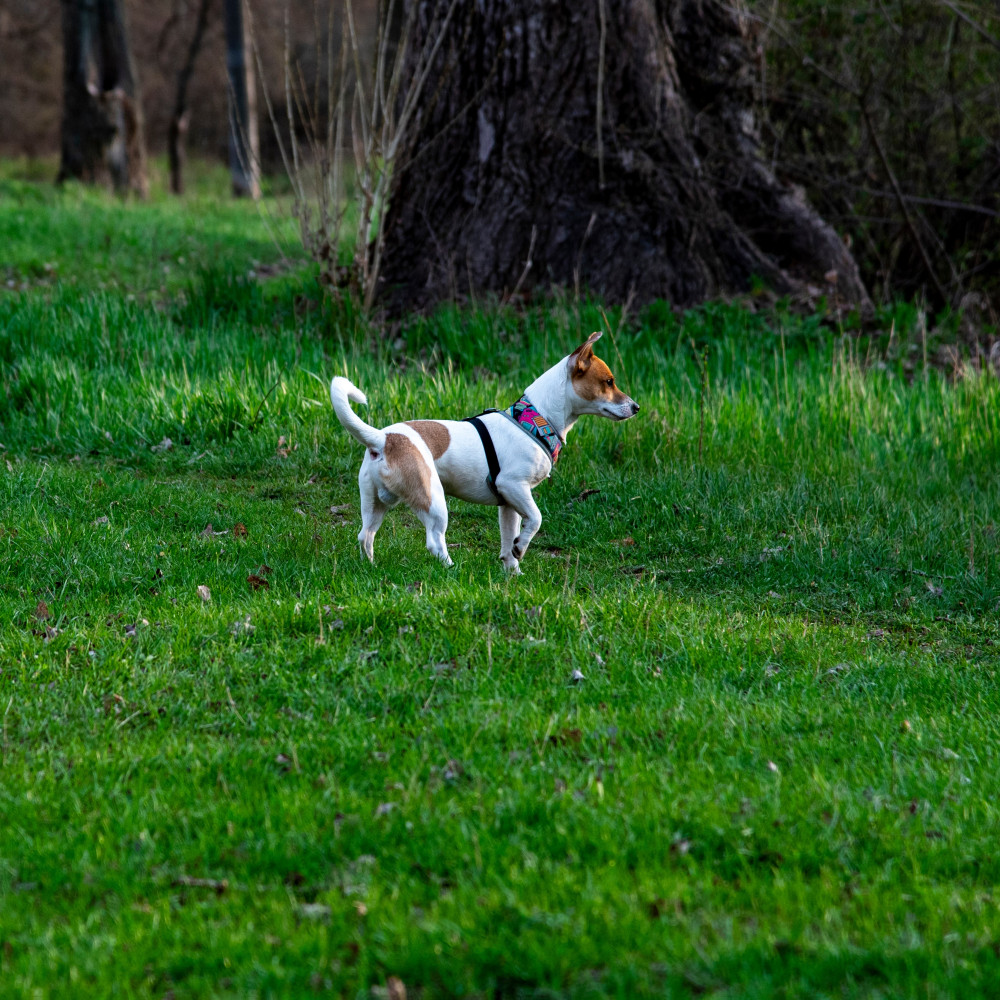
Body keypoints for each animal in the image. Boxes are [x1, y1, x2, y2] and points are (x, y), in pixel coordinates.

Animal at [330, 332, 640, 572]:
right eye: (609, 381)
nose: (636, 407)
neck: (535, 420)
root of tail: (385, 439)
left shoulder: (509, 504)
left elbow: (509, 536)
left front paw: (513, 569)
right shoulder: (513, 486)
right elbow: (536, 519)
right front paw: (521, 548)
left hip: (375, 502)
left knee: (365, 535)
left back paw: (371, 566)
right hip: (433, 499)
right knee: (434, 540)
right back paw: (451, 569)